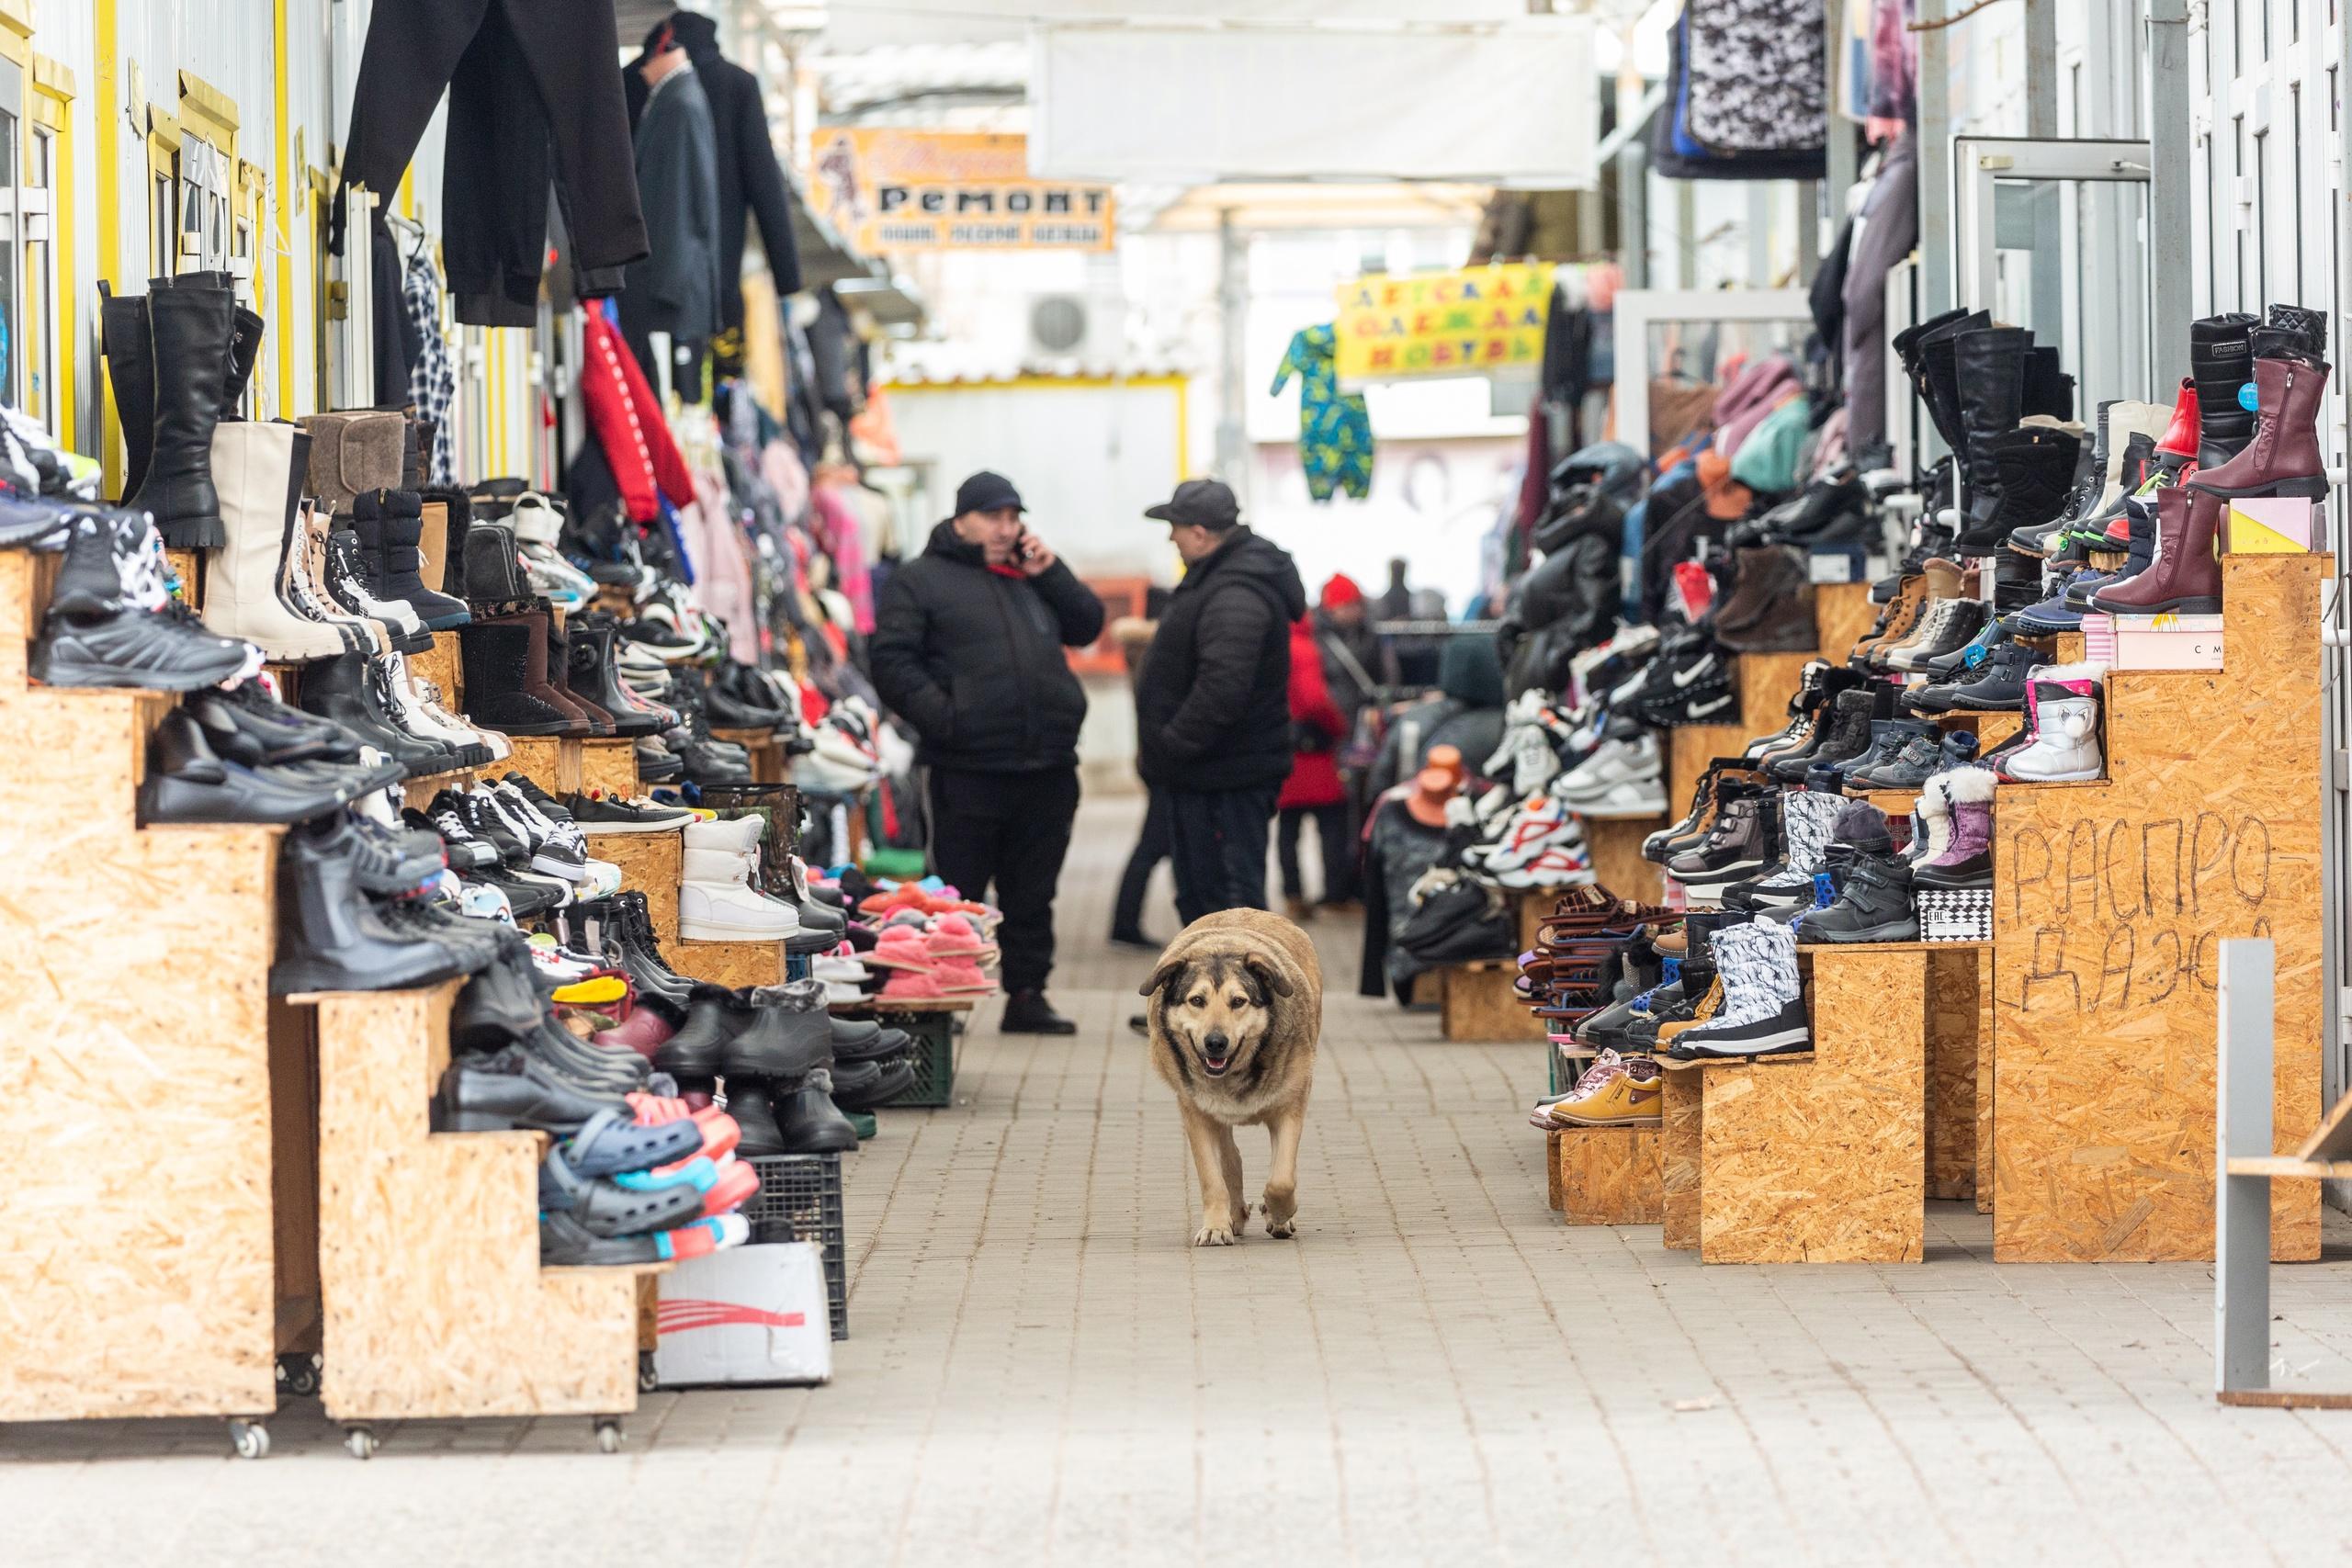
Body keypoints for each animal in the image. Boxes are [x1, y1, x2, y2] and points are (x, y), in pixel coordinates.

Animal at [1138, 907, 1326, 1250]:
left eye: (1238, 1001)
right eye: (1197, 1001)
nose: (1215, 1042)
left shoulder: (1291, 1104)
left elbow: (1281, 1178)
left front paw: (1280, 1213)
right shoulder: (1195, 1112)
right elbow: (1213, 1177)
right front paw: (1216, 1226)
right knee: (1231, 1158)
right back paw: (1235, 1213)